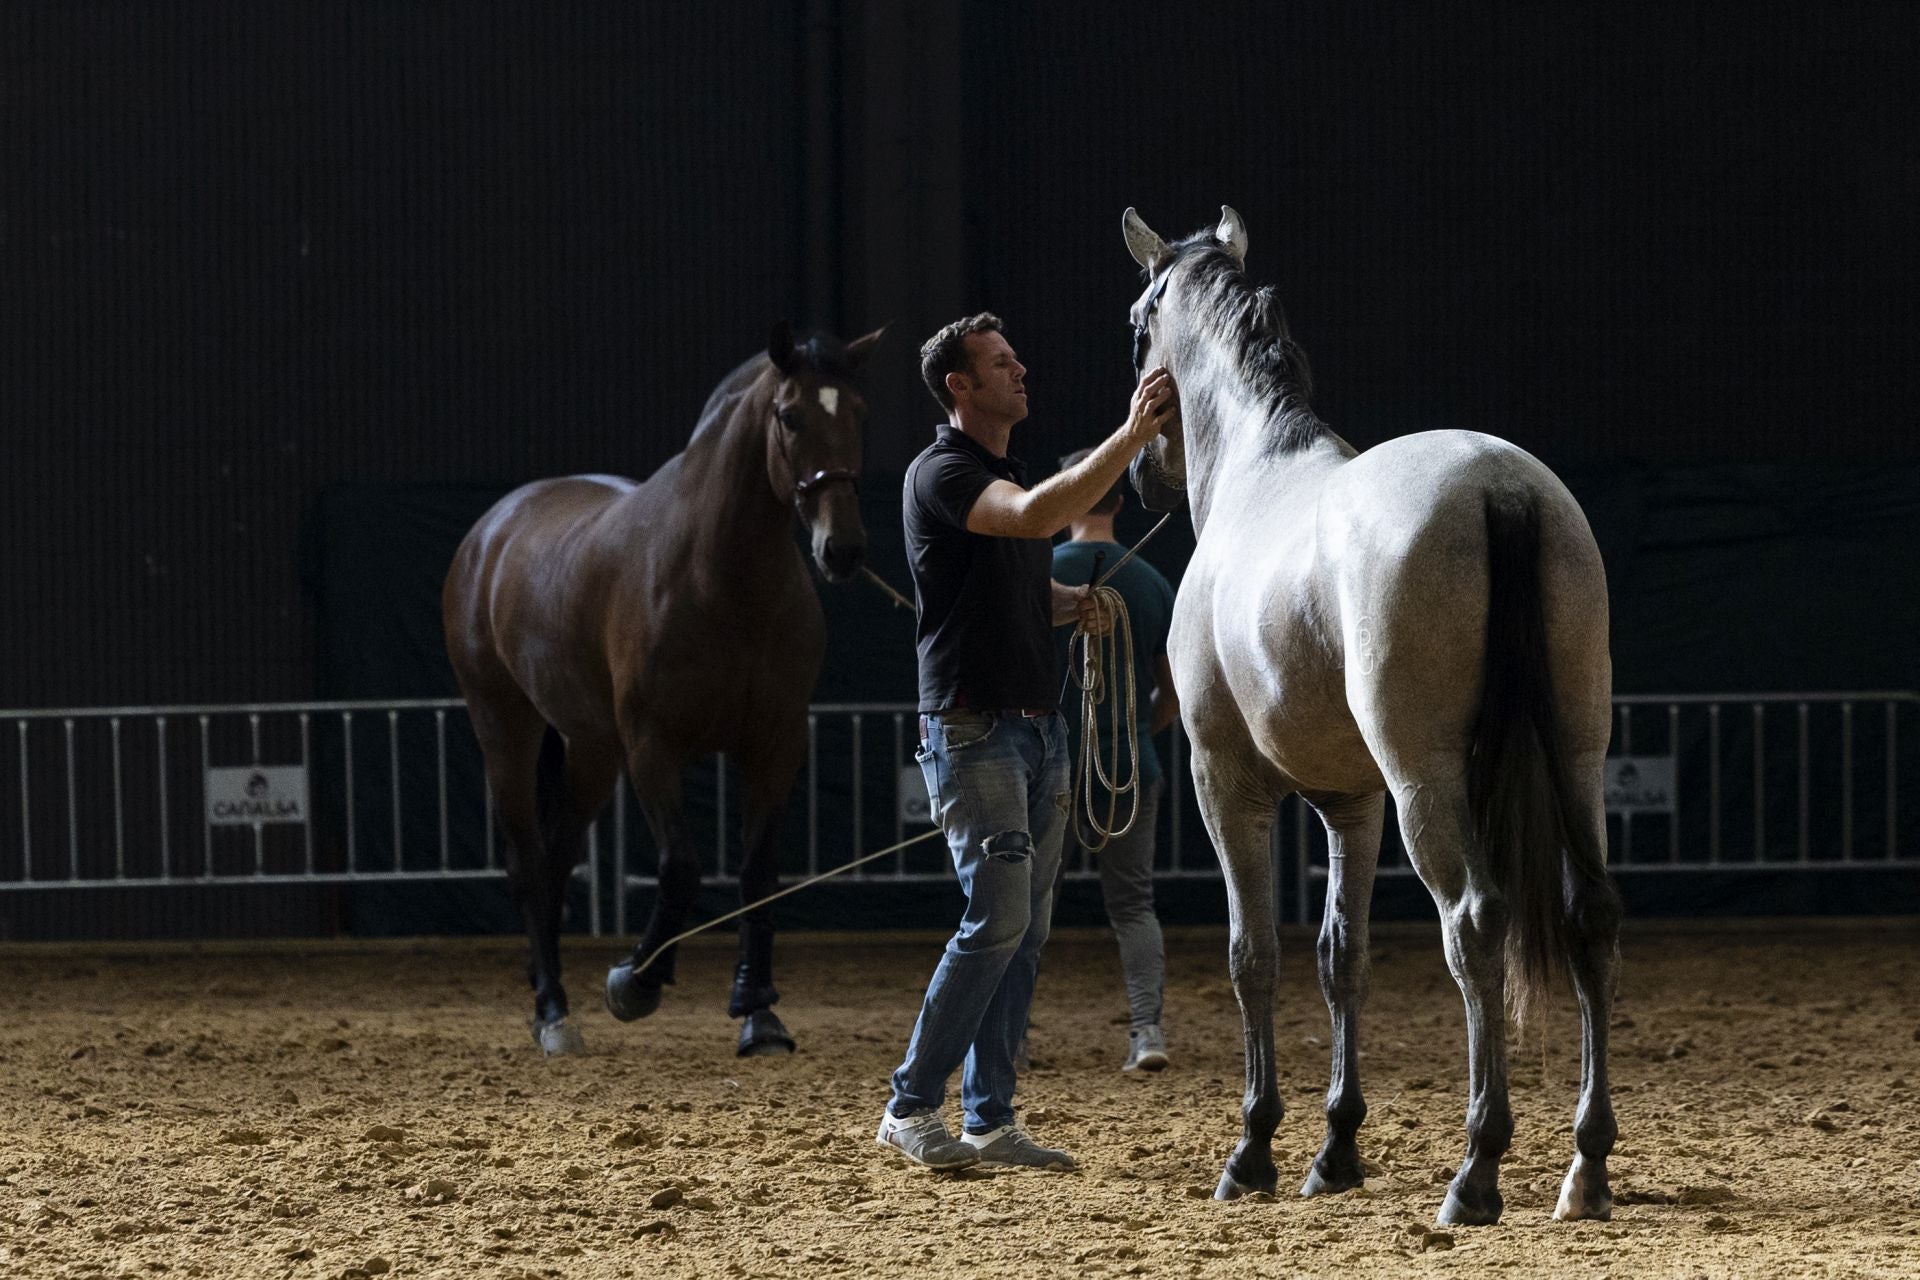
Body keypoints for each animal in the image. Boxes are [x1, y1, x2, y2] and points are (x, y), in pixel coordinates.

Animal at [443, 322, 882, 1058]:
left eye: (857, 413)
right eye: (790, 416)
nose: (842, 549)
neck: (720, 579)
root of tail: (490, 532)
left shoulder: (776, 743)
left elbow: (757, 875)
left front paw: (758, 1012)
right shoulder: (654, 747)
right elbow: (681, 867)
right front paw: (635, 981)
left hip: (591, 750)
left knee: (556, 861)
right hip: (504, 728)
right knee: (528, 863)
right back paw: (553, 1012)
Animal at [1118, 206, 1621, 1226]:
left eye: (1135, 323)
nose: (1141, 473)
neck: (1258, 472)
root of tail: (1500, 486)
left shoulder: (1226, 783)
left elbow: (1254, 955)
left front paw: (1253, 1152)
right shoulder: (1352, 803)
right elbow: (1338, 956)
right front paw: (1336, 1148)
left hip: (1427, 783)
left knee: (1474, 923)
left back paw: (1476, 1171)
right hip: (1576, 757)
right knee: (1589, 916)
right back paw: (1585, 1168)